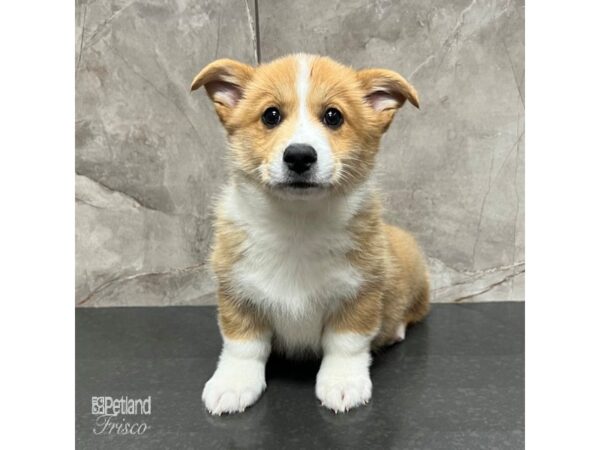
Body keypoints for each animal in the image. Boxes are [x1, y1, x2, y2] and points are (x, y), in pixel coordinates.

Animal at [190, 53, 428, 414]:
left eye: (333, 116)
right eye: (271, 115)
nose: (299, 155)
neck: (297, 224)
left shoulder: (360, 293)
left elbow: (346, 343)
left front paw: (342, 383)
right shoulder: (236, 292)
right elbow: (242, 345)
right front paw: (233, 384)